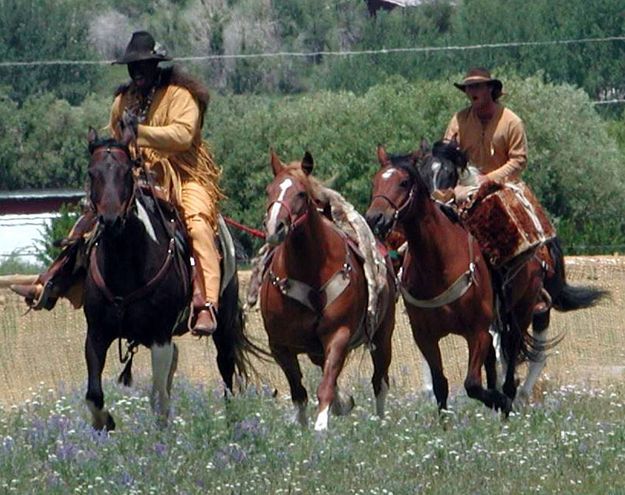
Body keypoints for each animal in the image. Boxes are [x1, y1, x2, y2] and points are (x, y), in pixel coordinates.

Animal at [83, 127, 251, 430]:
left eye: (126, 172)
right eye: (93, 172)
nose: (111, 220)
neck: (125, 265)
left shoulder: (159, 335)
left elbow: (159, 401)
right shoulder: (96, 334)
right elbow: (94, 396)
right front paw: (105, 424)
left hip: (222, 326)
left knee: (226, 372)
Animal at [258, 150, 394, 430]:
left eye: (300, 193)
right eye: (269, 190)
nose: (275, 228)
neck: (307, 269)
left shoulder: (338, 334)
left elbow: (326, 385)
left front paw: (321, 427)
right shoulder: (279, 345)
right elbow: (298, 390)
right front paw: (302, 424)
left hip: (383, 334)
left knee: (379, 380)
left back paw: (379, 421)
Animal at [366, 145, 540, 412]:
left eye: (404, 182)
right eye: (375, 181)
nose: (375, 218)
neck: (439, 263)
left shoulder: (477, 331)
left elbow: (472, 384)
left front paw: (498, 400)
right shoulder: (425, 337)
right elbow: (441, 386)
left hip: (520, 313)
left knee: (509, 365)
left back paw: (506, 402)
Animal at [416, 140, 608, 404]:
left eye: (448, 173)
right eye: (422, 173)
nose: (436, 203)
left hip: (535, 308)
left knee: (533, 353)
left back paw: (521, 395)